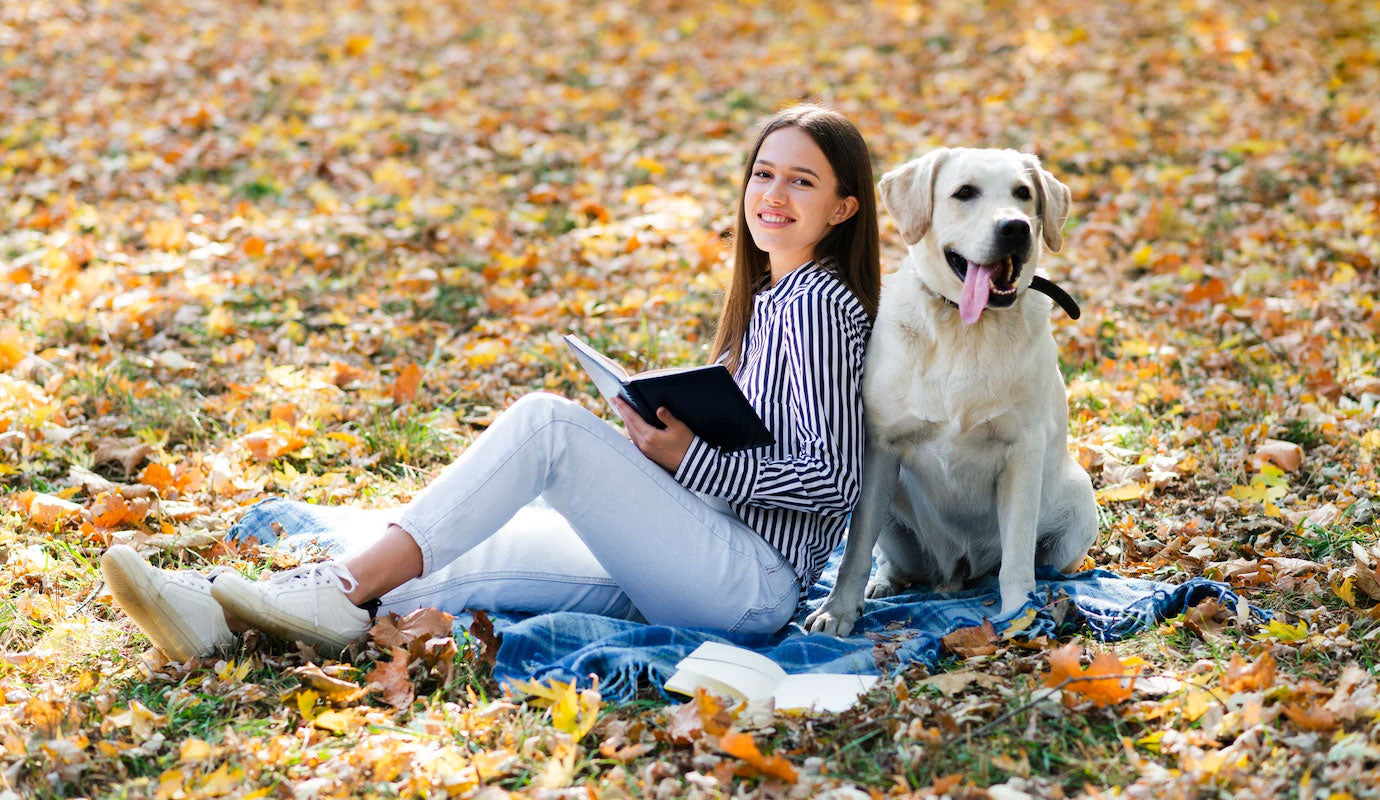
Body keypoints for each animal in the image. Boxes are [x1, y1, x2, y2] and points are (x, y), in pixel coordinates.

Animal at [805, 148, 1092, 637]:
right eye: (965, 192)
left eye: (1023, 193)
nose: (1015, 227)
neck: (965, 327)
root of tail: (956, 574)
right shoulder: (879, 448)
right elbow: (856, 551)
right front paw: (838, 610)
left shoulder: (1023, 452)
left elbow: (1017, 557)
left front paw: (1020, 615)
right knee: (891, 559)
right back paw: (885, 583)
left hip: (1080, 504)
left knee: (1039, 561)